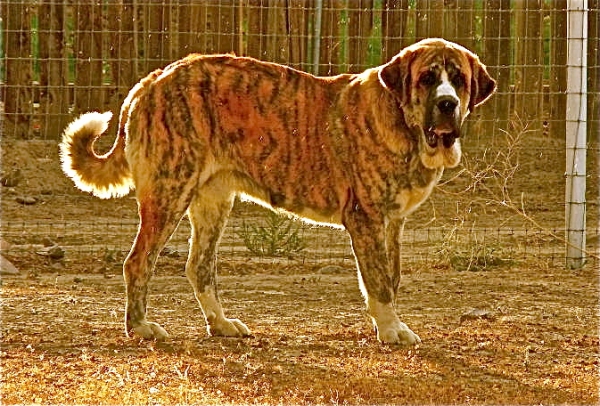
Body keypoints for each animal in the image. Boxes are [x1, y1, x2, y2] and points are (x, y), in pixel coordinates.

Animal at [59, 38, 496, 344]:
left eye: (459, 80)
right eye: (427, 79)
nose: (447, 104)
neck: (403, 124)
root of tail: (152, 80)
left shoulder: (393, 224)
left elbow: (392, 278)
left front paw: (389, 324)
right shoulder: (367, 218)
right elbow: (378, 282)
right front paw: (390, 331)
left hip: (213, 203)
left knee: (199, 267)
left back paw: (221, 324)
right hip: (170, 193)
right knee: (138, 262)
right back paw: (141, 327)